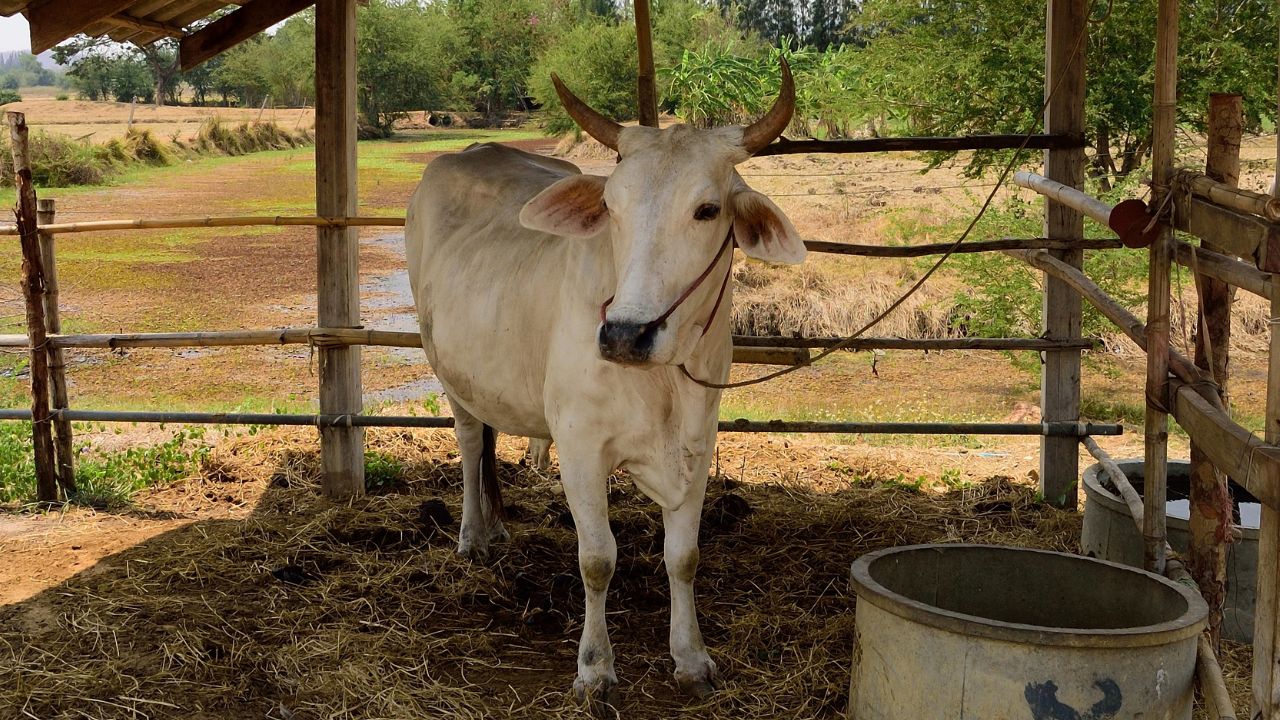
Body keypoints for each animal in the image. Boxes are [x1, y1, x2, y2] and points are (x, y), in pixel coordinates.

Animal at [405, 62, 805, 710]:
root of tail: (468, 152)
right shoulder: (580, 449)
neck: (663, 384)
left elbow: (684, 557)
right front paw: (594, 668)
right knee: (469, 441)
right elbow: (597, 559)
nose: (623, 335)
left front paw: (691, 658)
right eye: (612, 206)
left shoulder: (698, 445)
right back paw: (473, 536)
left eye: (707, 209)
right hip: (444, 365)